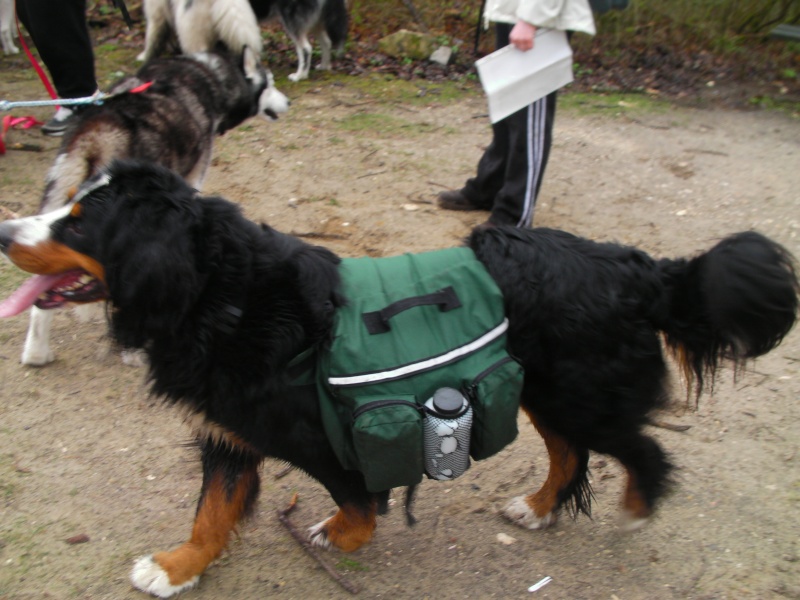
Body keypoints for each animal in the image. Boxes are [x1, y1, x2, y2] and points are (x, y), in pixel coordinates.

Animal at [0, 159, 796, 596]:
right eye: (65, 206)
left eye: (77, 223)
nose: (7, 231)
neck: (217, 293)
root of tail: (638, 267)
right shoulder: (228, 435)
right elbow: (212, 512)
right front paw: (176, 568)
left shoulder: (325, 439)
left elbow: (356, 505)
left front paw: (336, 536)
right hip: (541, 391)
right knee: (570, 455)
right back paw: (536, 508)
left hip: (581, 394)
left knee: (639, 449)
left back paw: (634, 507)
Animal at [9, 45, 290, 366]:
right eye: (270, 83)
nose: (288, 101)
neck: (212, 77)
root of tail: (99, 134)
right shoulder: (190, 180)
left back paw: (36, 352)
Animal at [137, 0, 346, 81]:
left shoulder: (160, 16)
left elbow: (151, 38)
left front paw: (144, 56)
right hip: (316, 20)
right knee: (326, 42)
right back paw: (324, 66)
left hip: (292, 20)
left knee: (306, 48)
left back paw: (300, 75)